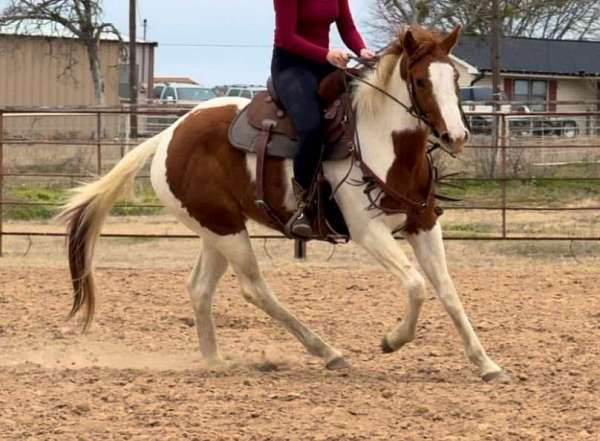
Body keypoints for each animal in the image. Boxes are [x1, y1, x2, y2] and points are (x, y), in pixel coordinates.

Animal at [58, 25, 506, 380]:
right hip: (227, 231)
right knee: (255, 289)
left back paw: (214, 361)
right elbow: (416, 285)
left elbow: (447, 291)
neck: (385, 144)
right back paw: (327, 352)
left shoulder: (424, 224)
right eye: (420, 81)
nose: (457, 136)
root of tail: (169, 134)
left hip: (214, 228)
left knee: (200, 288)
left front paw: (486, 365)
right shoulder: (368, 231)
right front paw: (392, 340)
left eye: (454, 79)